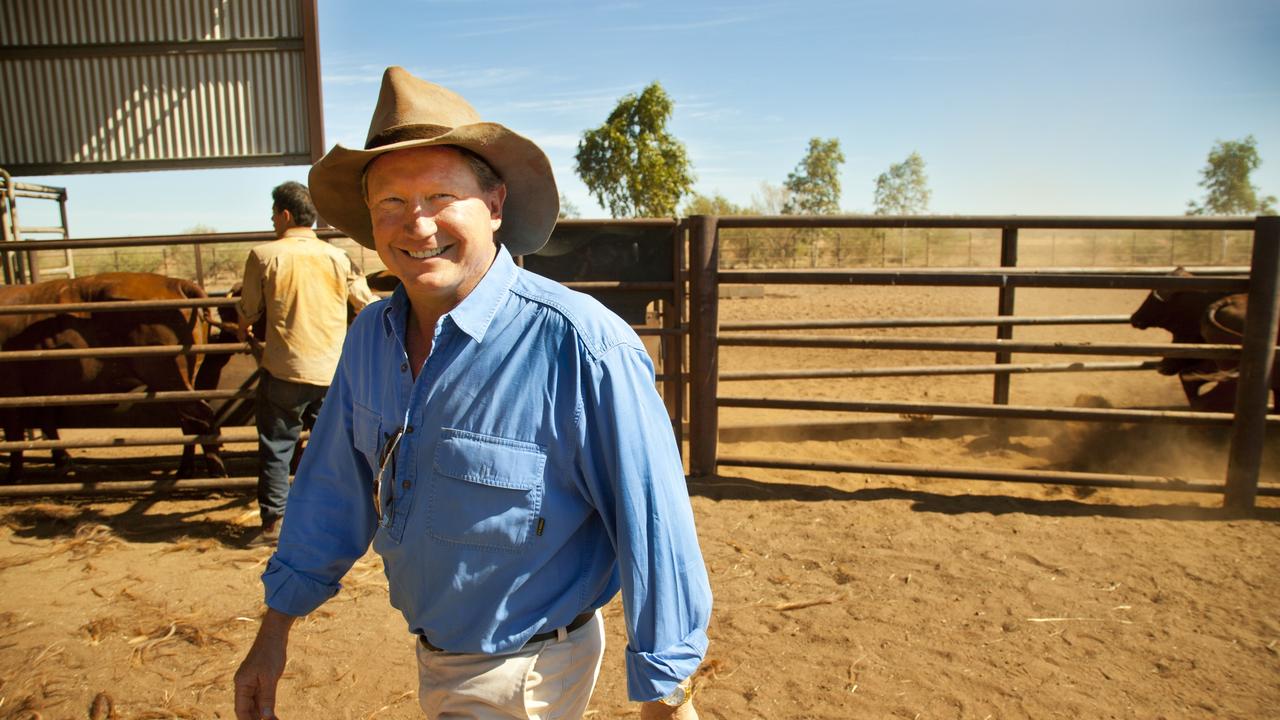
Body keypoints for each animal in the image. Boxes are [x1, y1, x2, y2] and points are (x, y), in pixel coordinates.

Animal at [2, 271, 229, 479]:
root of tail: (176, 283)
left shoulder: (11, 391)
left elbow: (15, 431)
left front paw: (14, 475)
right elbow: (46, 421)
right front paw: (62, 461)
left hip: (168, 376)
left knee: (202, 416)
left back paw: (217, 473)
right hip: (177, 381)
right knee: (189, 422)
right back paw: (185, 471)